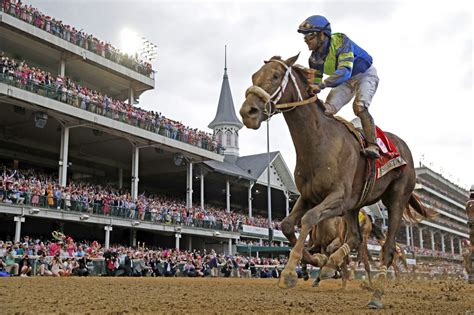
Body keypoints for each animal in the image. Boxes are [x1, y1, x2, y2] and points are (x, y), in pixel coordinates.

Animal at [239, 53, 436, 308]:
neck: (319, 142)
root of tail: (405, 151)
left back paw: (376, 293)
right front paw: (316, 262)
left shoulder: (338, 198)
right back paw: (334, 266)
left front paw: (290, 272)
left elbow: (309, 219)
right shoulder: (310, 196)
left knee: (388, 248)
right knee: (355, 238)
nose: (248, 112)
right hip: (354, 207)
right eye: (254, 76)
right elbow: (287, 225)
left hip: (396, 199)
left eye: (275, 75)